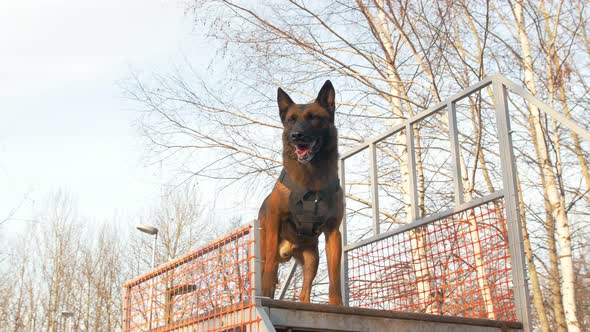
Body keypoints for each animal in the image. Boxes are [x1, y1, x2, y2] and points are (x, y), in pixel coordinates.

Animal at [260, 81, 346, 306]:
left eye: (314, 117)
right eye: (291, 120)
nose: (296, 135)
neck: (312, 178)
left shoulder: (333, 232)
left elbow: (335, 278)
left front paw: (337, 305)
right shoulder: (275, 219)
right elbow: (270, 266)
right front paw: (265, 293)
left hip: (311, 259)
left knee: (303, 293)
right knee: (268, 268)